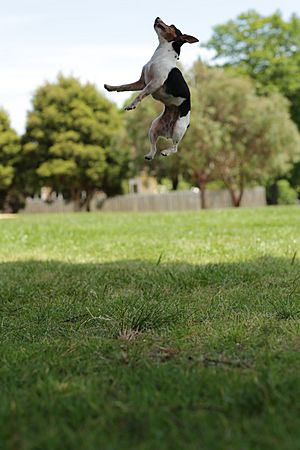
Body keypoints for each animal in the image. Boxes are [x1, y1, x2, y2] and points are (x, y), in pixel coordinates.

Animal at [104, 18, 198, 162]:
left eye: (172, 26)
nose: (157, 17)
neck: (161, 56)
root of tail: (168, 133)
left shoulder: (155, 83)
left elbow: (140, 95)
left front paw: (131, 105)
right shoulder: (142, 82)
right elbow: (124, 86)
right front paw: (111, 87)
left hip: (178, 128)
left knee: (175, 148)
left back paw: (166, 152)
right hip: (154, 127)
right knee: (154, 147)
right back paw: (150, 155)